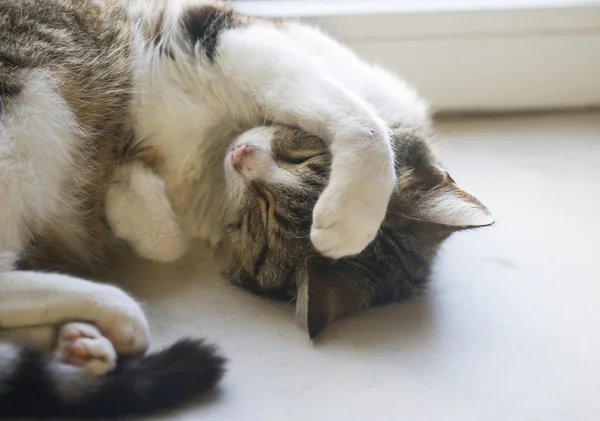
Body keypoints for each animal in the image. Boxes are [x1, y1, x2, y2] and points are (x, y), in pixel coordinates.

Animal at [0, 0, 412, 416]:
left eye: (262, 216)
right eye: (301, 157)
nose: (242, 154)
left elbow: (171, 241)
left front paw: (126, 190)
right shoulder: (224, 33)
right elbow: (355, 115)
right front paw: (353, 217)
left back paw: (80, 340)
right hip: (36, 97)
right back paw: (114, 311)